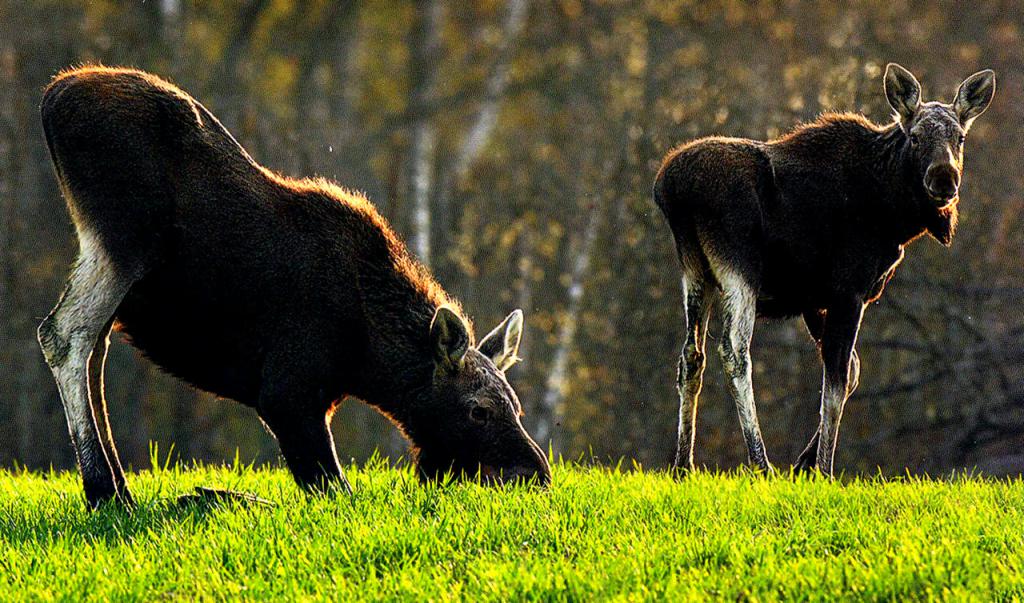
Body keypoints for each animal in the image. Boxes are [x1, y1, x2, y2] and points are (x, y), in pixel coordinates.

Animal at [37, 66, 552, 507]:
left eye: (517, 407)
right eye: (478, 410)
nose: (537, 475)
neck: (369, 356)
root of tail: (51, 96)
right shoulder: (287, 390)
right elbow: (334, 488)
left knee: (95, 350)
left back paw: (118, 485)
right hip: (123, 242)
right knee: (64, 336)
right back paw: (103, 490)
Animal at [651, 61, 995, 475]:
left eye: (960, 137)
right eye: (914, 137)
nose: (944, 178)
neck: (895, 216)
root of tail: (669, 187)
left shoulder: (814, 299)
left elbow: (852, 372)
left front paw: (804, 463)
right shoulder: (849, 290)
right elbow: (835, 381)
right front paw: (823, 468)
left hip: (695, 271)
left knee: (691, 356)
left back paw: (682, 465)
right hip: (738, 269)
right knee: (734, 351)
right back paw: (760, 462)